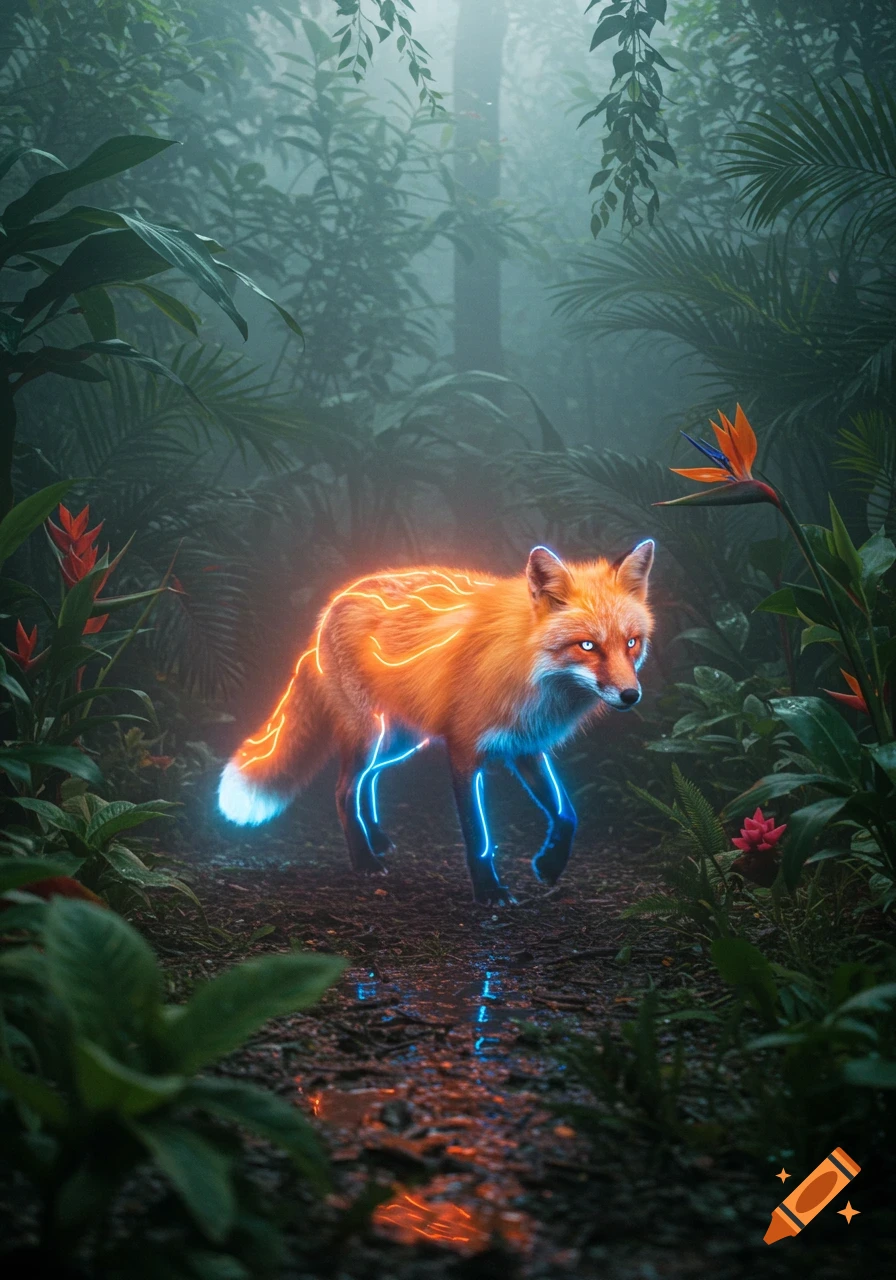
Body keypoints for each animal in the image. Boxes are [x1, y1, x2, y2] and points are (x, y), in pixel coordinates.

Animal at [218, 541, 655, 905]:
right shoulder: (464, 749)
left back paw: (376, 839)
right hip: (372, 736)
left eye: (631, 642)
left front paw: (549, 865)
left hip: (399, 741)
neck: (527, 665)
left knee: (365, 782)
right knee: (344, 790)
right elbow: (477, 834)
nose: (631, 696)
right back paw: (364, 860)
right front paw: (489, 891)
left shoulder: (525, 747)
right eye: (587, 646)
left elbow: (566, 814)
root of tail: (334, 604)